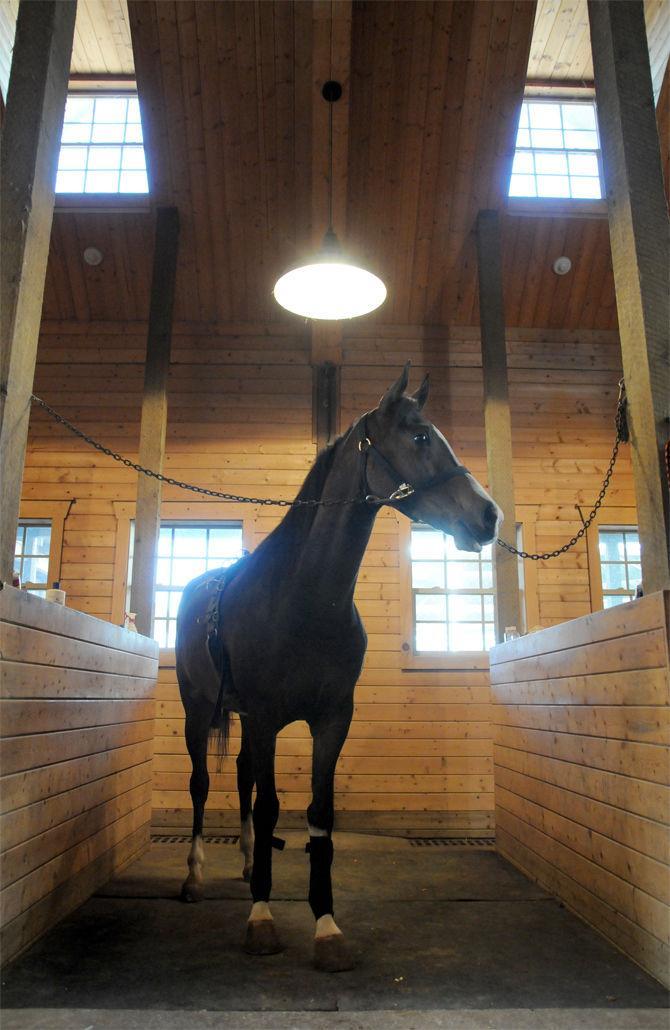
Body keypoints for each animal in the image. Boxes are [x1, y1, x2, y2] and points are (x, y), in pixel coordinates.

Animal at [175, 366, 498, 968]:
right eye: (420, 436)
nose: (489, 514)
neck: (303, 599)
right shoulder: (266, 718)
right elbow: (272, 808)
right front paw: (261, 919)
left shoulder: (330, 721)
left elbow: (318, 815)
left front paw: (326, 926)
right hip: (198, 712)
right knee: (202, 785)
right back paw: (195, 878)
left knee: (241, 779)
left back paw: (250, 866)